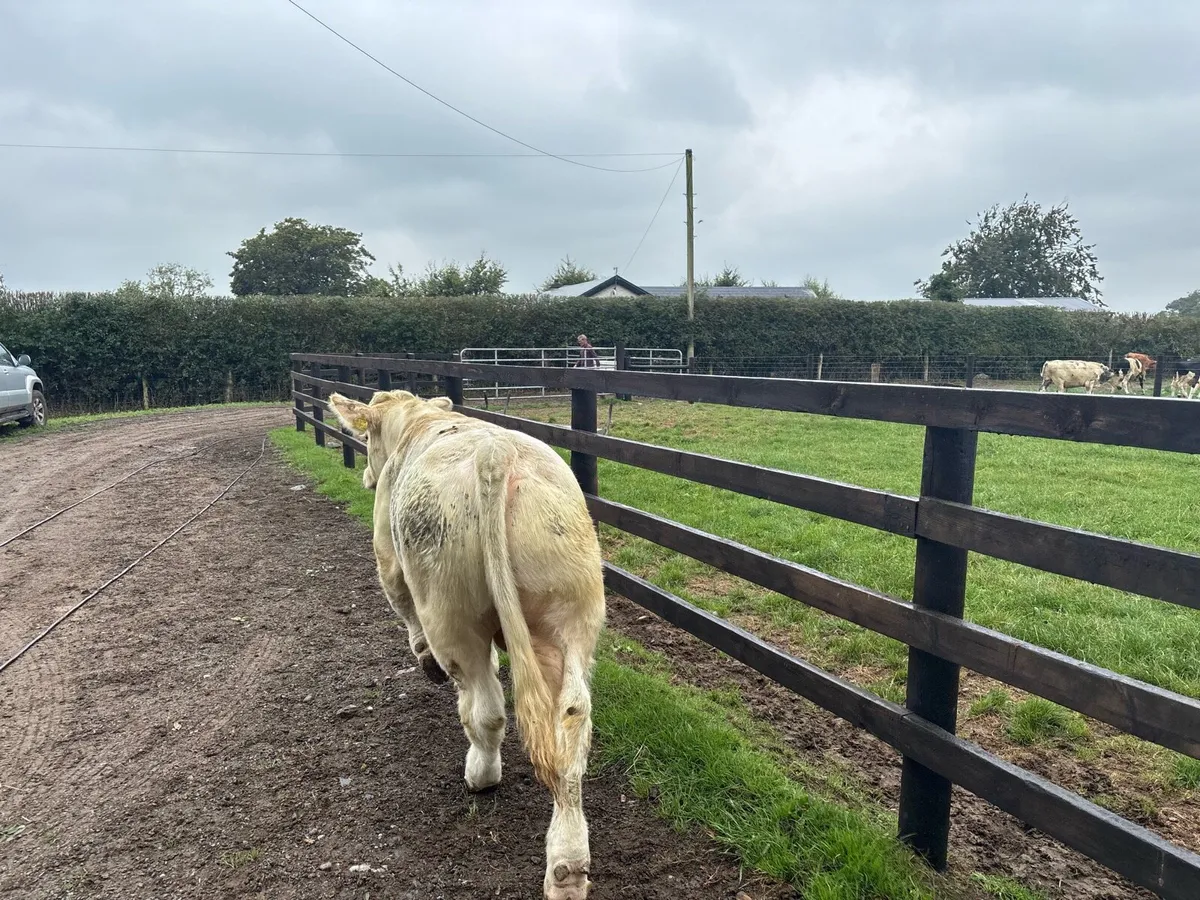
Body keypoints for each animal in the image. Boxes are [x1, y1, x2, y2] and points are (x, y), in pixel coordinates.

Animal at [327, 389, 605, 900]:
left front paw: (424, 663)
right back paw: (568, 866)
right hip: (570, 606)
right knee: (572, 719)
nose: (366, 476)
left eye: (369, 437)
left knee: (485, 705)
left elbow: (400, 603)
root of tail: (496, 455)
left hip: (449, 609)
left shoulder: (388, 556)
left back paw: (480, 774)